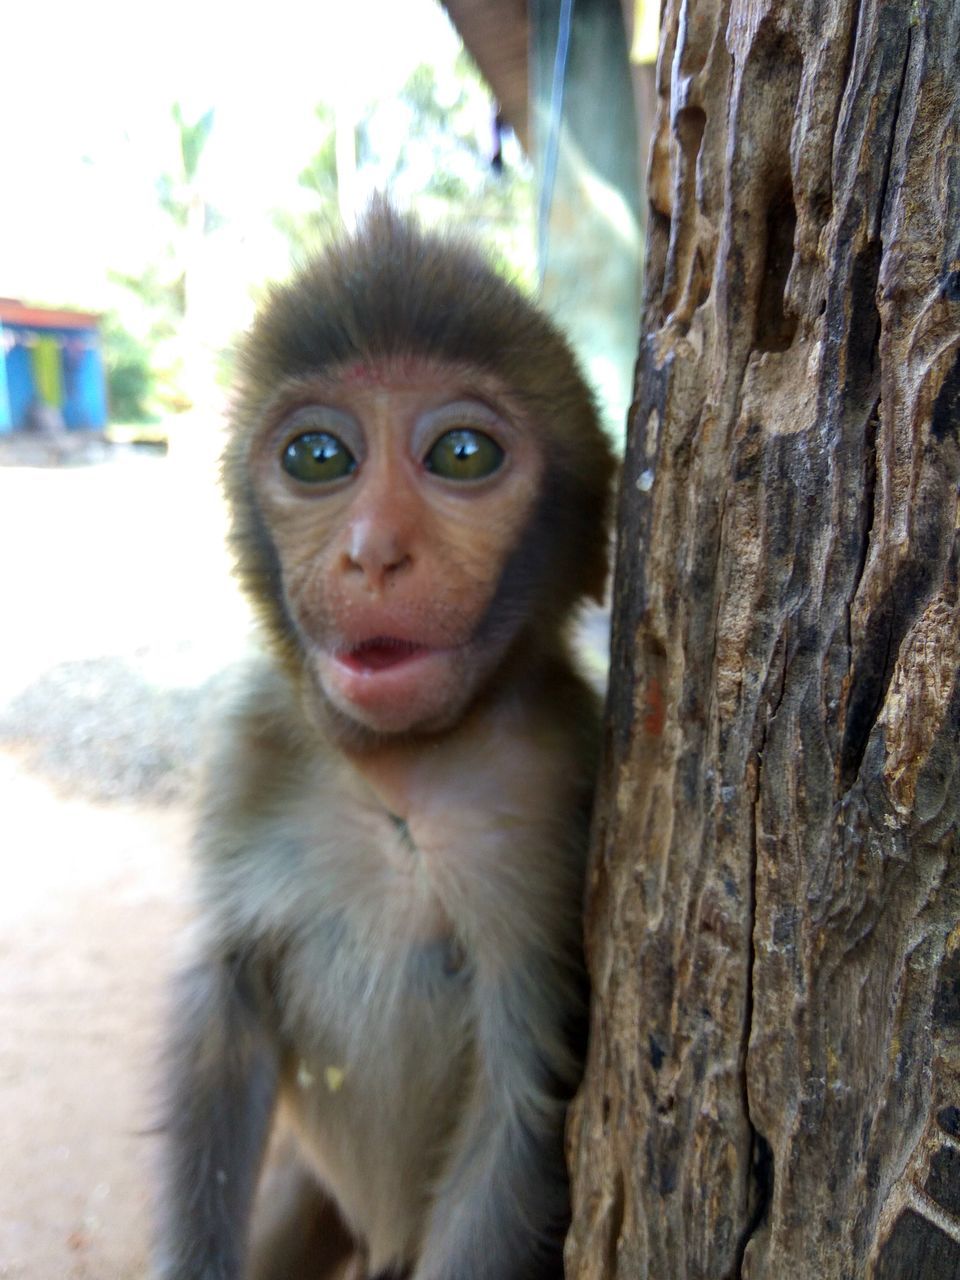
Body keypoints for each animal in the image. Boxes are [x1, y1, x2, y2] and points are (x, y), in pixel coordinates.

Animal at [152, 204, 611, 1274]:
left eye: (463, 455)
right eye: (318, 457)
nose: (372, 553)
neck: (400, 778)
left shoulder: (556, 802)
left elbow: (519, 1114)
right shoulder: (248, 746)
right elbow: (222, 1010)